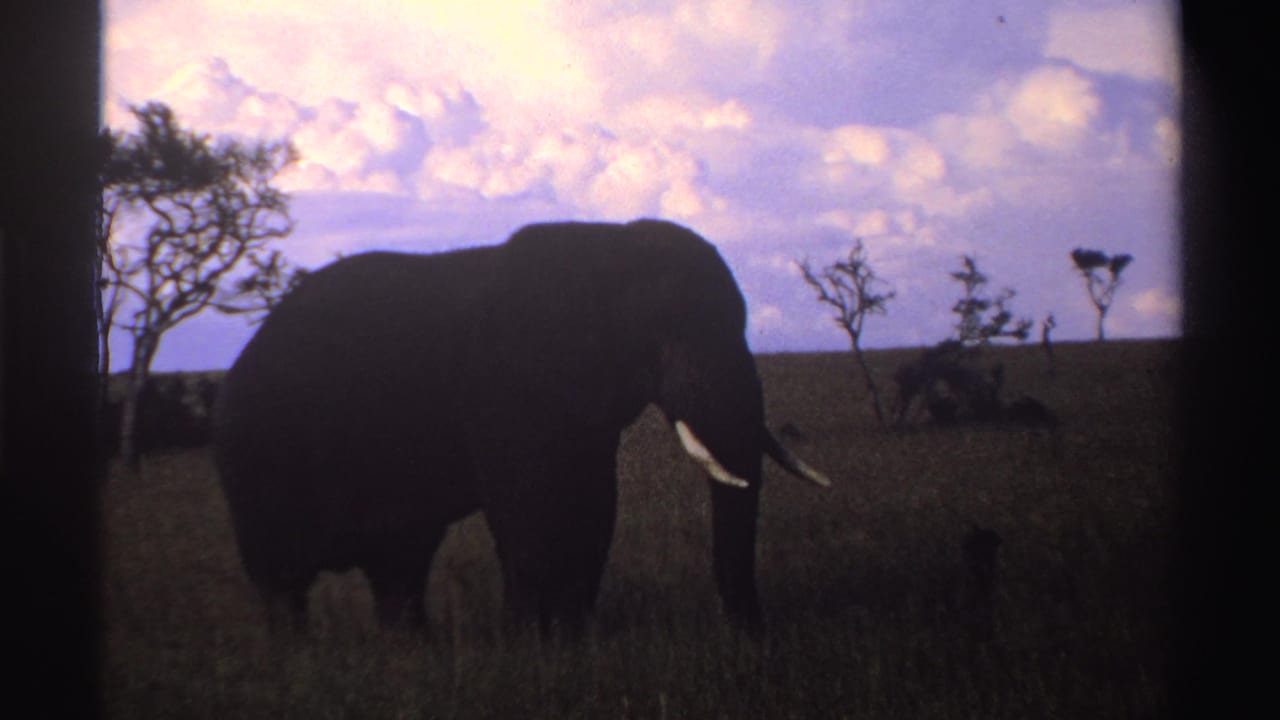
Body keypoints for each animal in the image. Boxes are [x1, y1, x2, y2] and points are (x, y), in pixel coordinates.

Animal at [213, 218, 829, 635]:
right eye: (667, 332)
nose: (752, 635)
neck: (609, 248)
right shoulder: (504, 387)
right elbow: (528, 508)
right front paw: (532, 644)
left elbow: (593, 504)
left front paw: (573, 638)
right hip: (256, 456)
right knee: (283, 577)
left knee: (401, 562)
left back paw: (412, 650)